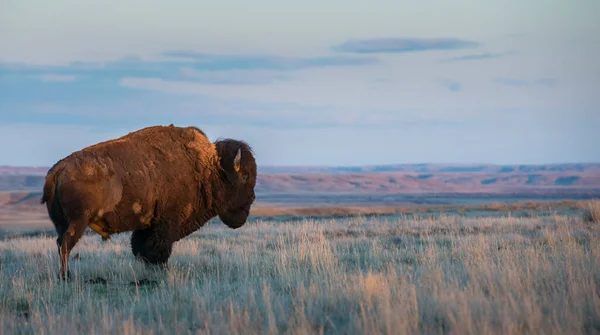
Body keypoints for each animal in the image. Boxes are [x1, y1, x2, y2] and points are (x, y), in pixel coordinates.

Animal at [41, 124, 256, 280]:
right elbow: (157, 249)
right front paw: (162, 271)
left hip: (61, 223)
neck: (209, 169)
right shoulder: (166, 224)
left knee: (60, 243)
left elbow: (141, 248)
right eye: (245, 175)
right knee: (66, 245)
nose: (252, 199)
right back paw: (65, 277)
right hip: (78, 221)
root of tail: (57, 171)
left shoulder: (147, 226)